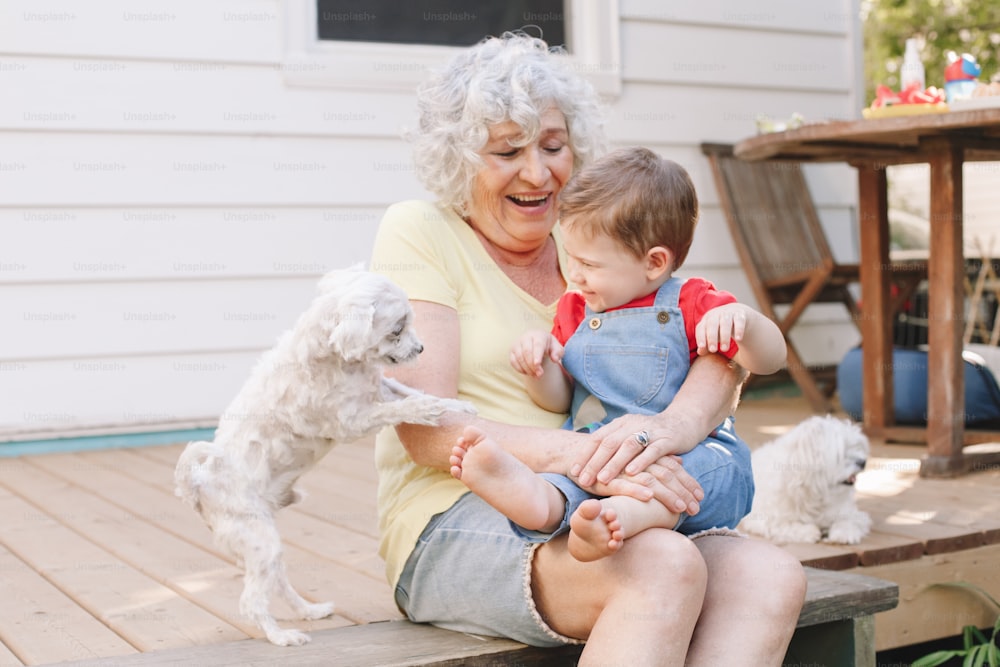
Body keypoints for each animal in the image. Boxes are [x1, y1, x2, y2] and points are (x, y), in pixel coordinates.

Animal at [175, 268, 476, 648]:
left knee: (276, 582)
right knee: (251, 602)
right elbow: (407, 406)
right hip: (258, 538)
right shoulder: (354, 421)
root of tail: (197, 484)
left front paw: (455, 406)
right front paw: (431, 410)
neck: (341, 359)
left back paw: (309, 610)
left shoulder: (380, 389)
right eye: (397, 329)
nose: (420, 348)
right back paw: (281, 636)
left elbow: (413, 393)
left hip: (262, 546)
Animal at [740, 414, 872, 544]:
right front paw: (809, 531)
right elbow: (786, 525)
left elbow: (849, 521)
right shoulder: (766, 519)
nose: (863, 462)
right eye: (841, 454)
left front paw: (843, 534)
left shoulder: (850, 513)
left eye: (857, 447)